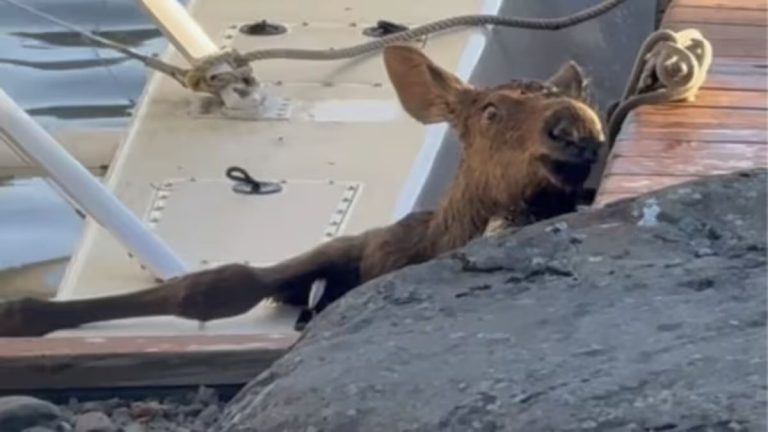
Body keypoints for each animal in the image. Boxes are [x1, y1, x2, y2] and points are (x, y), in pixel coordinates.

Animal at [0, 44, 605, 337]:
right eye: (490, 110)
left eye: (579, 100)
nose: (574, 124)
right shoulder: (357, 247)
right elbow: (219, 283)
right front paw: (23, 315)